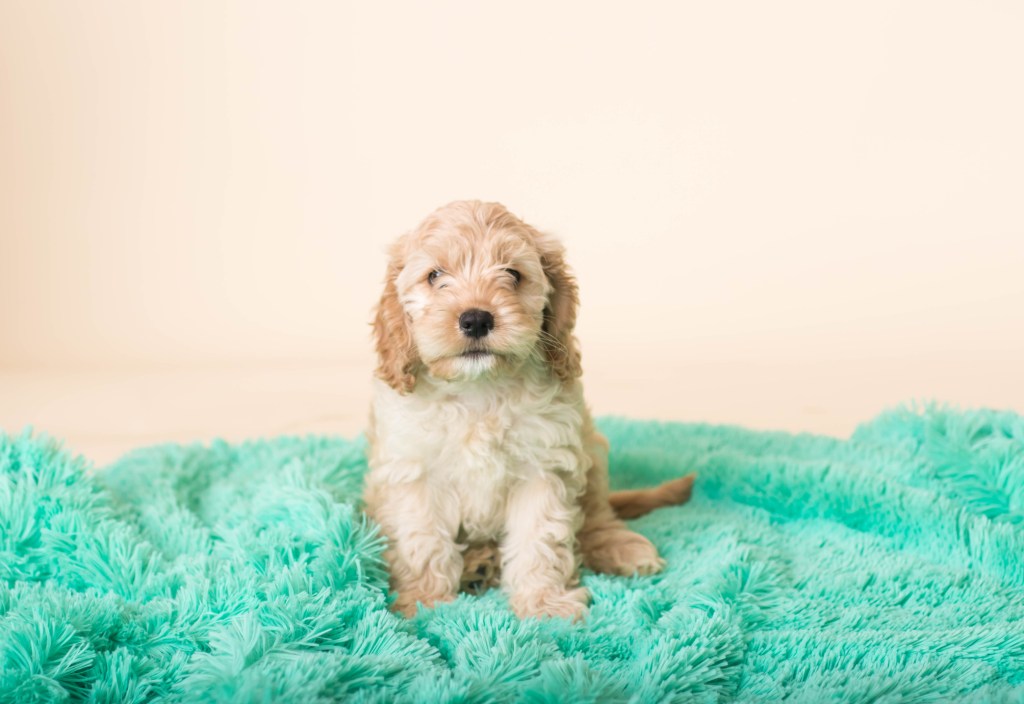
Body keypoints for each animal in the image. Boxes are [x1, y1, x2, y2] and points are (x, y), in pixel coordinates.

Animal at [364, 200, 692, 618]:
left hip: (593, 452)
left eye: (513, 274)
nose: (475, 318)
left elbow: (540, 539)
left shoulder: (544, 467)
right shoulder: (416, 474)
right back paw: (478, 563)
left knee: (598, 515)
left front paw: (544, 604)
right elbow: (423, 542)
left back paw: (619, 548)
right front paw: (424, 602)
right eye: (434, 276)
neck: (479, 388)